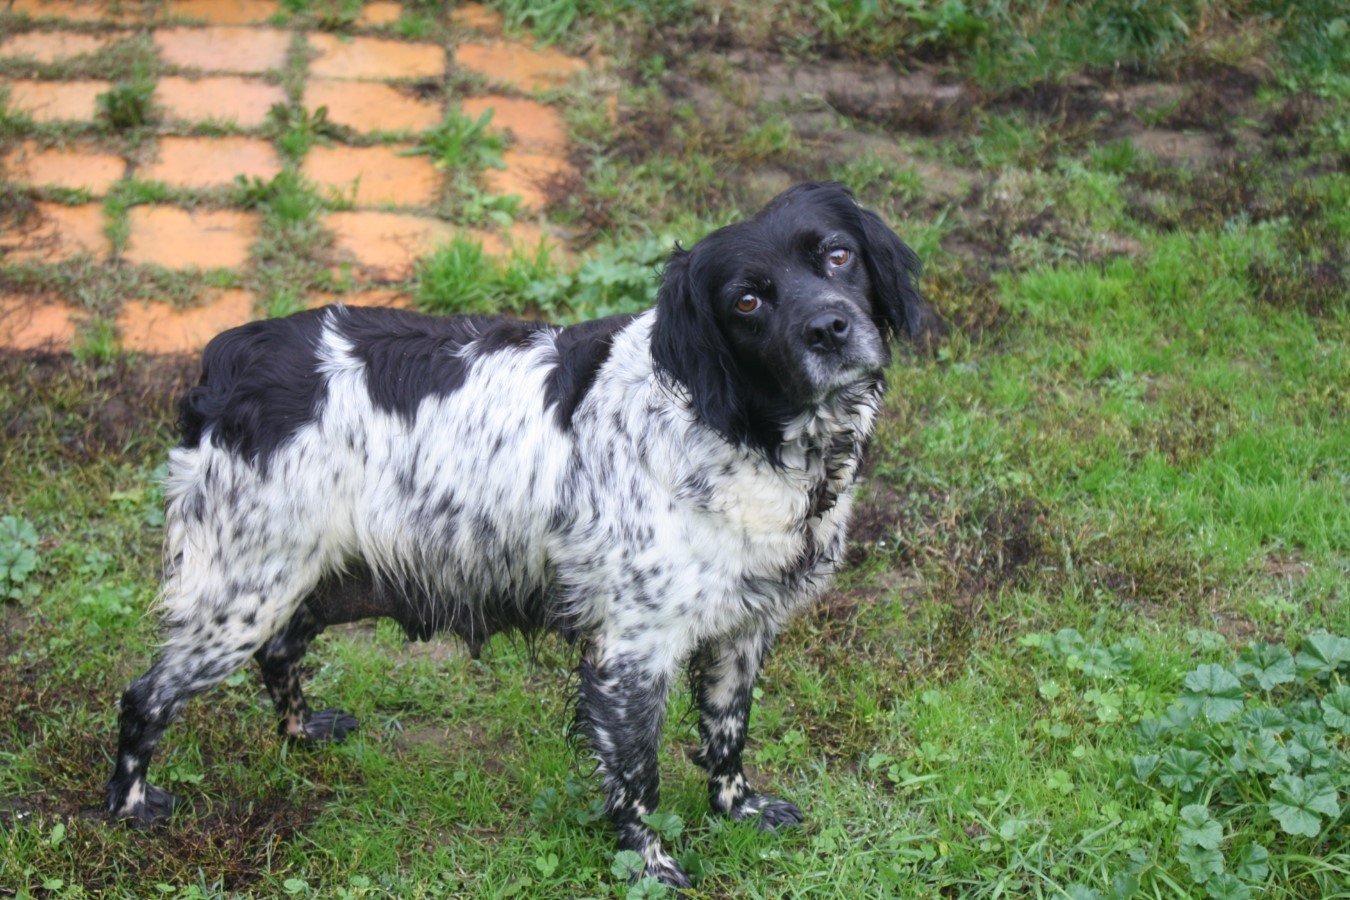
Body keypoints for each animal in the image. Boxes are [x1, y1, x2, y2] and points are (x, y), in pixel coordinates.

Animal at [108, 183, 928, 885]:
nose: (831, 328)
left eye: (837, 256)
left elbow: (727, 735)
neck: (737, 427)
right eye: (748, 301)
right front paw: (651, 864)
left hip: (319, 580)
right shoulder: (632, 653)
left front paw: (740, 809)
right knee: (145, 697)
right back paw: (129, 808)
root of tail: (227, 360)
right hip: (243, 593)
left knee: (280, 653)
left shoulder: (742, 629)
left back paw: (303, 732)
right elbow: (638, 777)